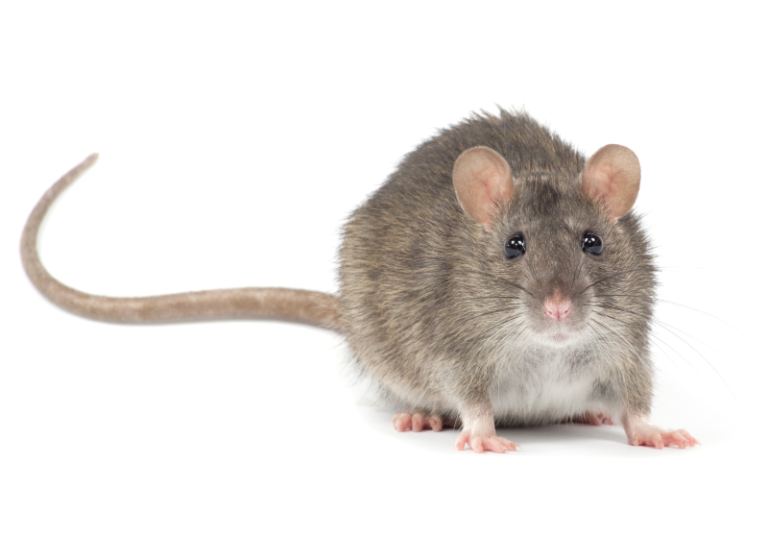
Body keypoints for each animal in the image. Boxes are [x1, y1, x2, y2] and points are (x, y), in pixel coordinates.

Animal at [21, 110, 698, 452]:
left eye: (592, 242)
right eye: (515, 246)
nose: (558, 309)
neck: (547, 348)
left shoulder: (626, 347)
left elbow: (637, 397)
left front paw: (652, 429)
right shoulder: (458, 349)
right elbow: (472, 398)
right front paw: (481, 434)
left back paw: (587, 411)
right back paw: (421, 417)